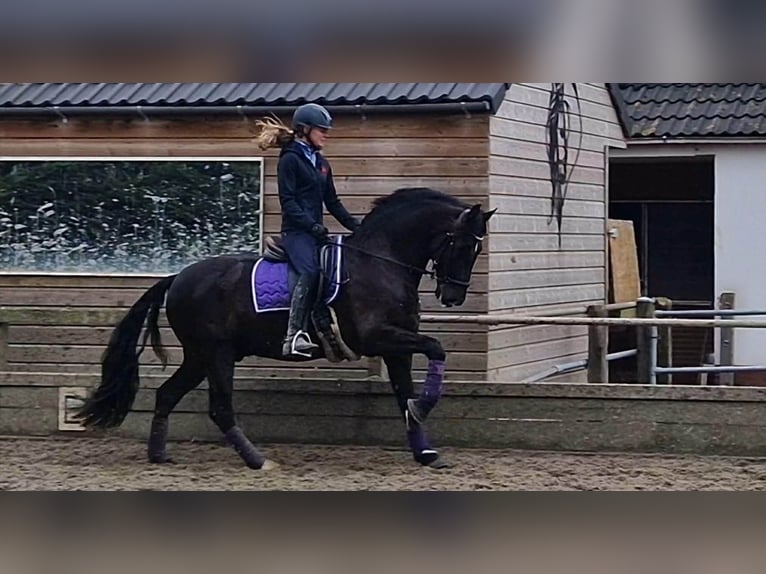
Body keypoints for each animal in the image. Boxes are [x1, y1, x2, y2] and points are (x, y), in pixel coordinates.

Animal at [76, 187, 495, 470]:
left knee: (166, 395)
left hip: (199, 356)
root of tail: (178, 277)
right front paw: (422, 408)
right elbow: (436, 347)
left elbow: (404, 392)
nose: (453, 297)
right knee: (220, 409)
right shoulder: (378, 337)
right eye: (461, 245)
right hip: (217, 354)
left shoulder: (396, 347)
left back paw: (159, 455)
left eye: (476, 250)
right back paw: (258, 460)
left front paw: (425, 449)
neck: (381, 262)